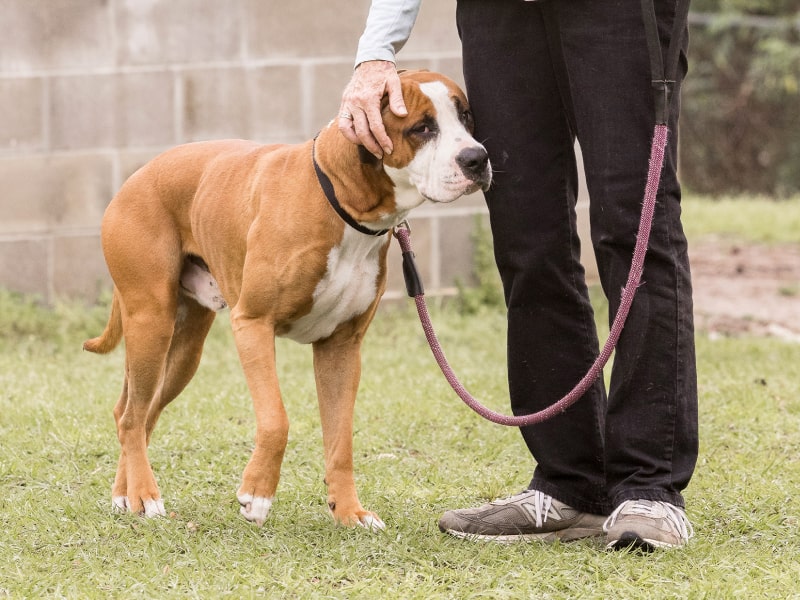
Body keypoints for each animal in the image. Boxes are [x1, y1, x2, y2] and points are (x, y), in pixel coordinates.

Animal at [84, 70, 490, 528]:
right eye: (422, 128)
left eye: (466, 117)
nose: (477, 158)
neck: (342, 200)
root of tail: (136, 176)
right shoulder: (253, 325)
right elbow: (276, 420)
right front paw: (257, 495)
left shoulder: (340, 348)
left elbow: (341, 440)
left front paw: (349, 511)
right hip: (151, 324)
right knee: (133, 415)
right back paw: (144, 495)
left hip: (182, 352)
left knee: (137, 412)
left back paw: (126, 494)